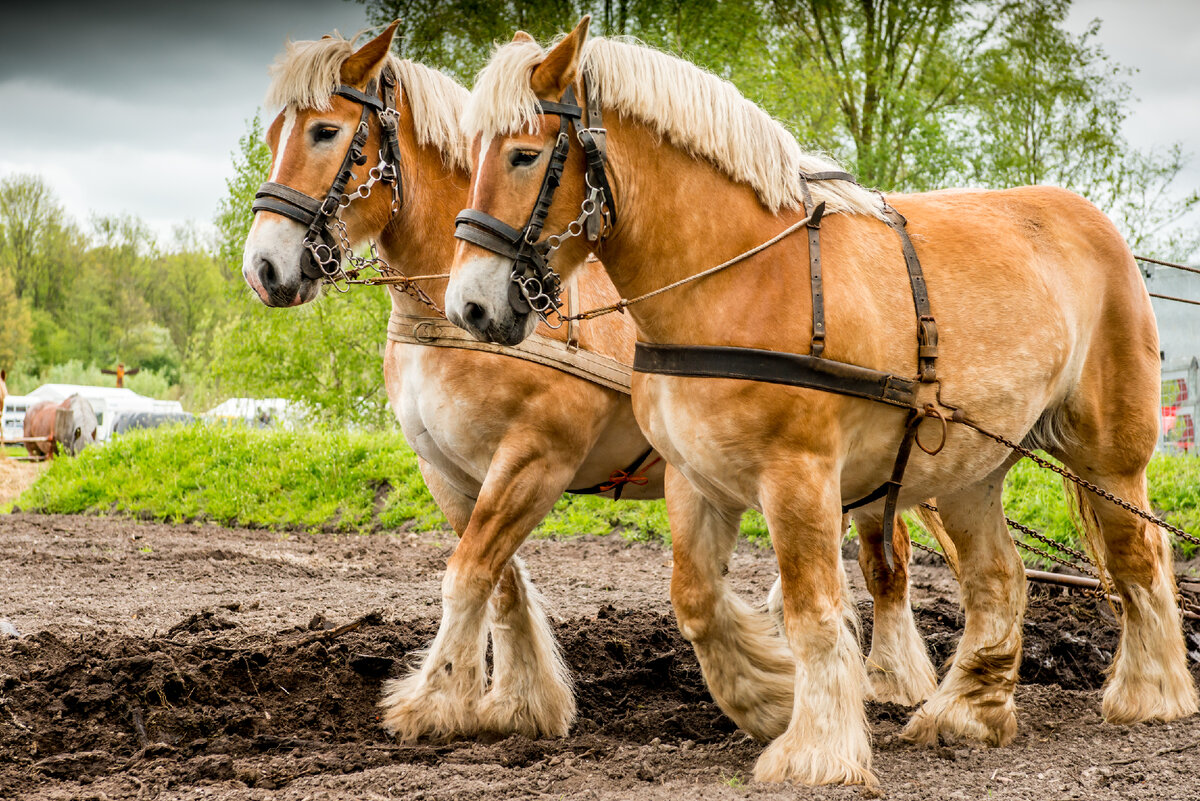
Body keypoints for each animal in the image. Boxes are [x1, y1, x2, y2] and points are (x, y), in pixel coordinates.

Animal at [451, 18, 1200, 786]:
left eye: (523, 154)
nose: (470, 307)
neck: (740, 276)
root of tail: (1094, 222)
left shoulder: (800, 476)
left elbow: (812, 609)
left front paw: (815, 749)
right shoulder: (695, 477)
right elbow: (696, 600)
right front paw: (768, 699)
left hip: (1107, 455)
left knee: (1139, 552)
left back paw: (1150, 693)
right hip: (971, 468)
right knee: (998, 577)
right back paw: (966, 710)